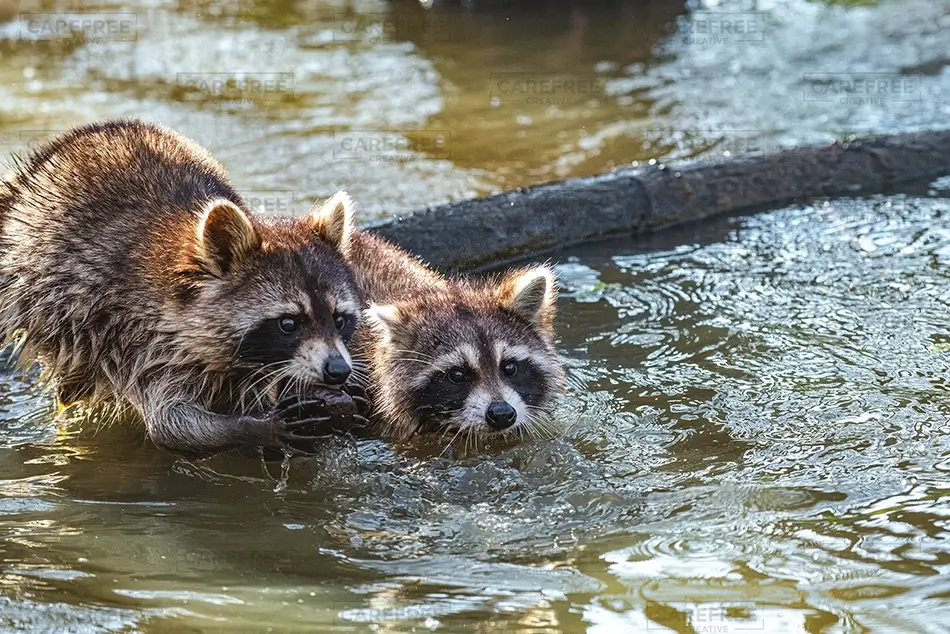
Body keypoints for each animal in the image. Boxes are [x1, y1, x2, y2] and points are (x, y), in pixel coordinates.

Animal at [0, 120, 362, 455]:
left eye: (339, 319)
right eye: (288, 322)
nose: (338, 371)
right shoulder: (138, 334)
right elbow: (170, 424)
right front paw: (250, 429)